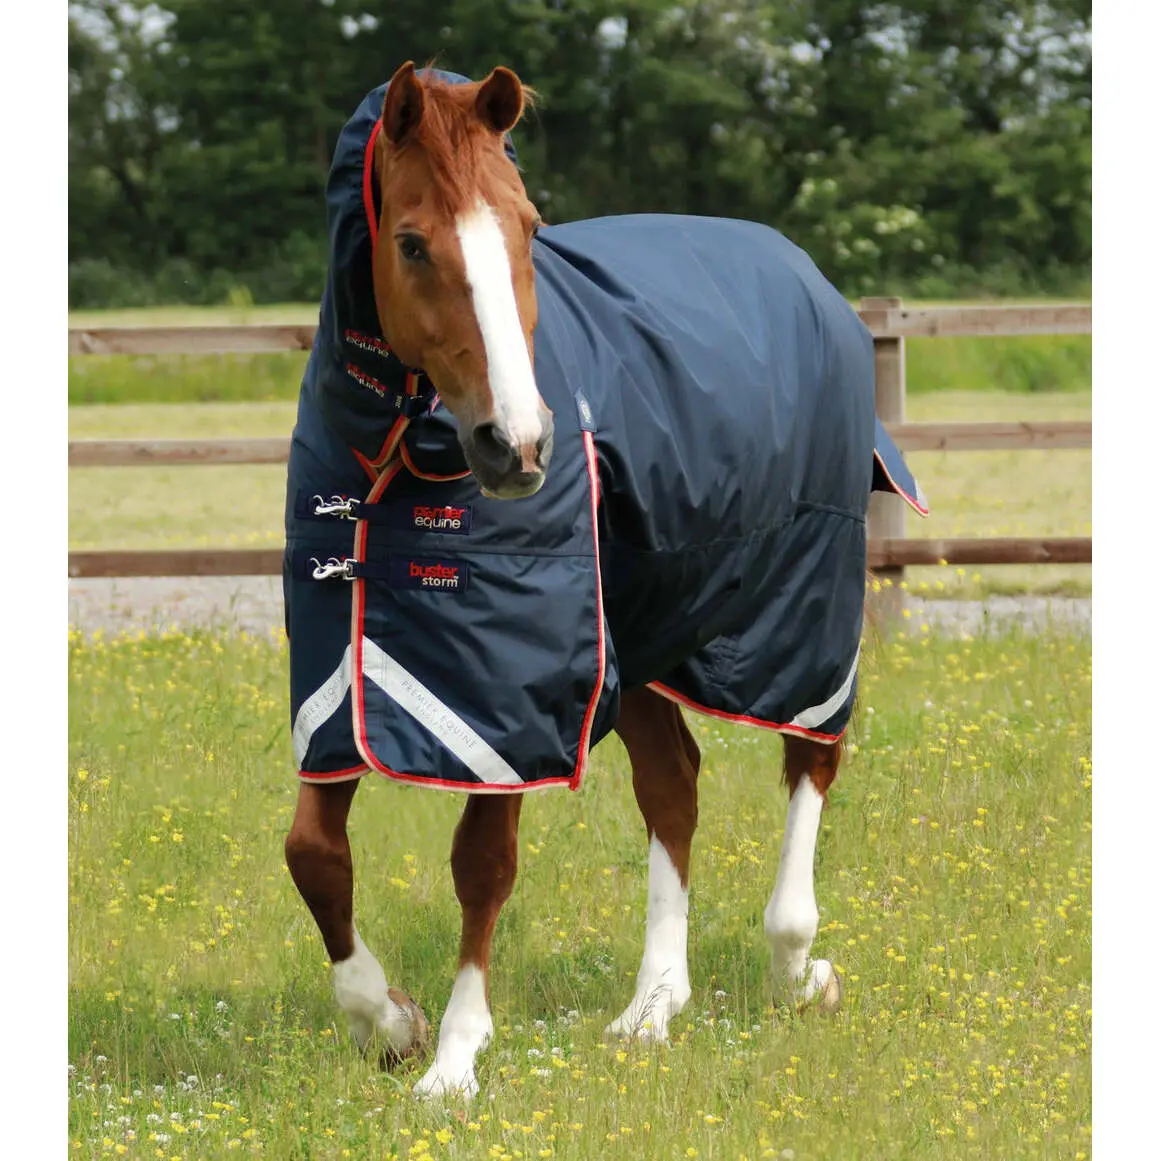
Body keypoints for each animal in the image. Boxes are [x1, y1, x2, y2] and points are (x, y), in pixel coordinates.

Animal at [281, 61, 926, 1100]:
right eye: (411, 242)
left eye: (527, 225)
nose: (518, 443)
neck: (394, 460)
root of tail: (808, 277)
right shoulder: (346, 677)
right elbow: (314, 853)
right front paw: (388, 1023)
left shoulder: (511, 689)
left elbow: (482, 862)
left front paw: (453, 1057)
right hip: (639, 629)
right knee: (674, 785)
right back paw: (652, 1006)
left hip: (805, 607)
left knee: (811, 757)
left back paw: (797, 965)